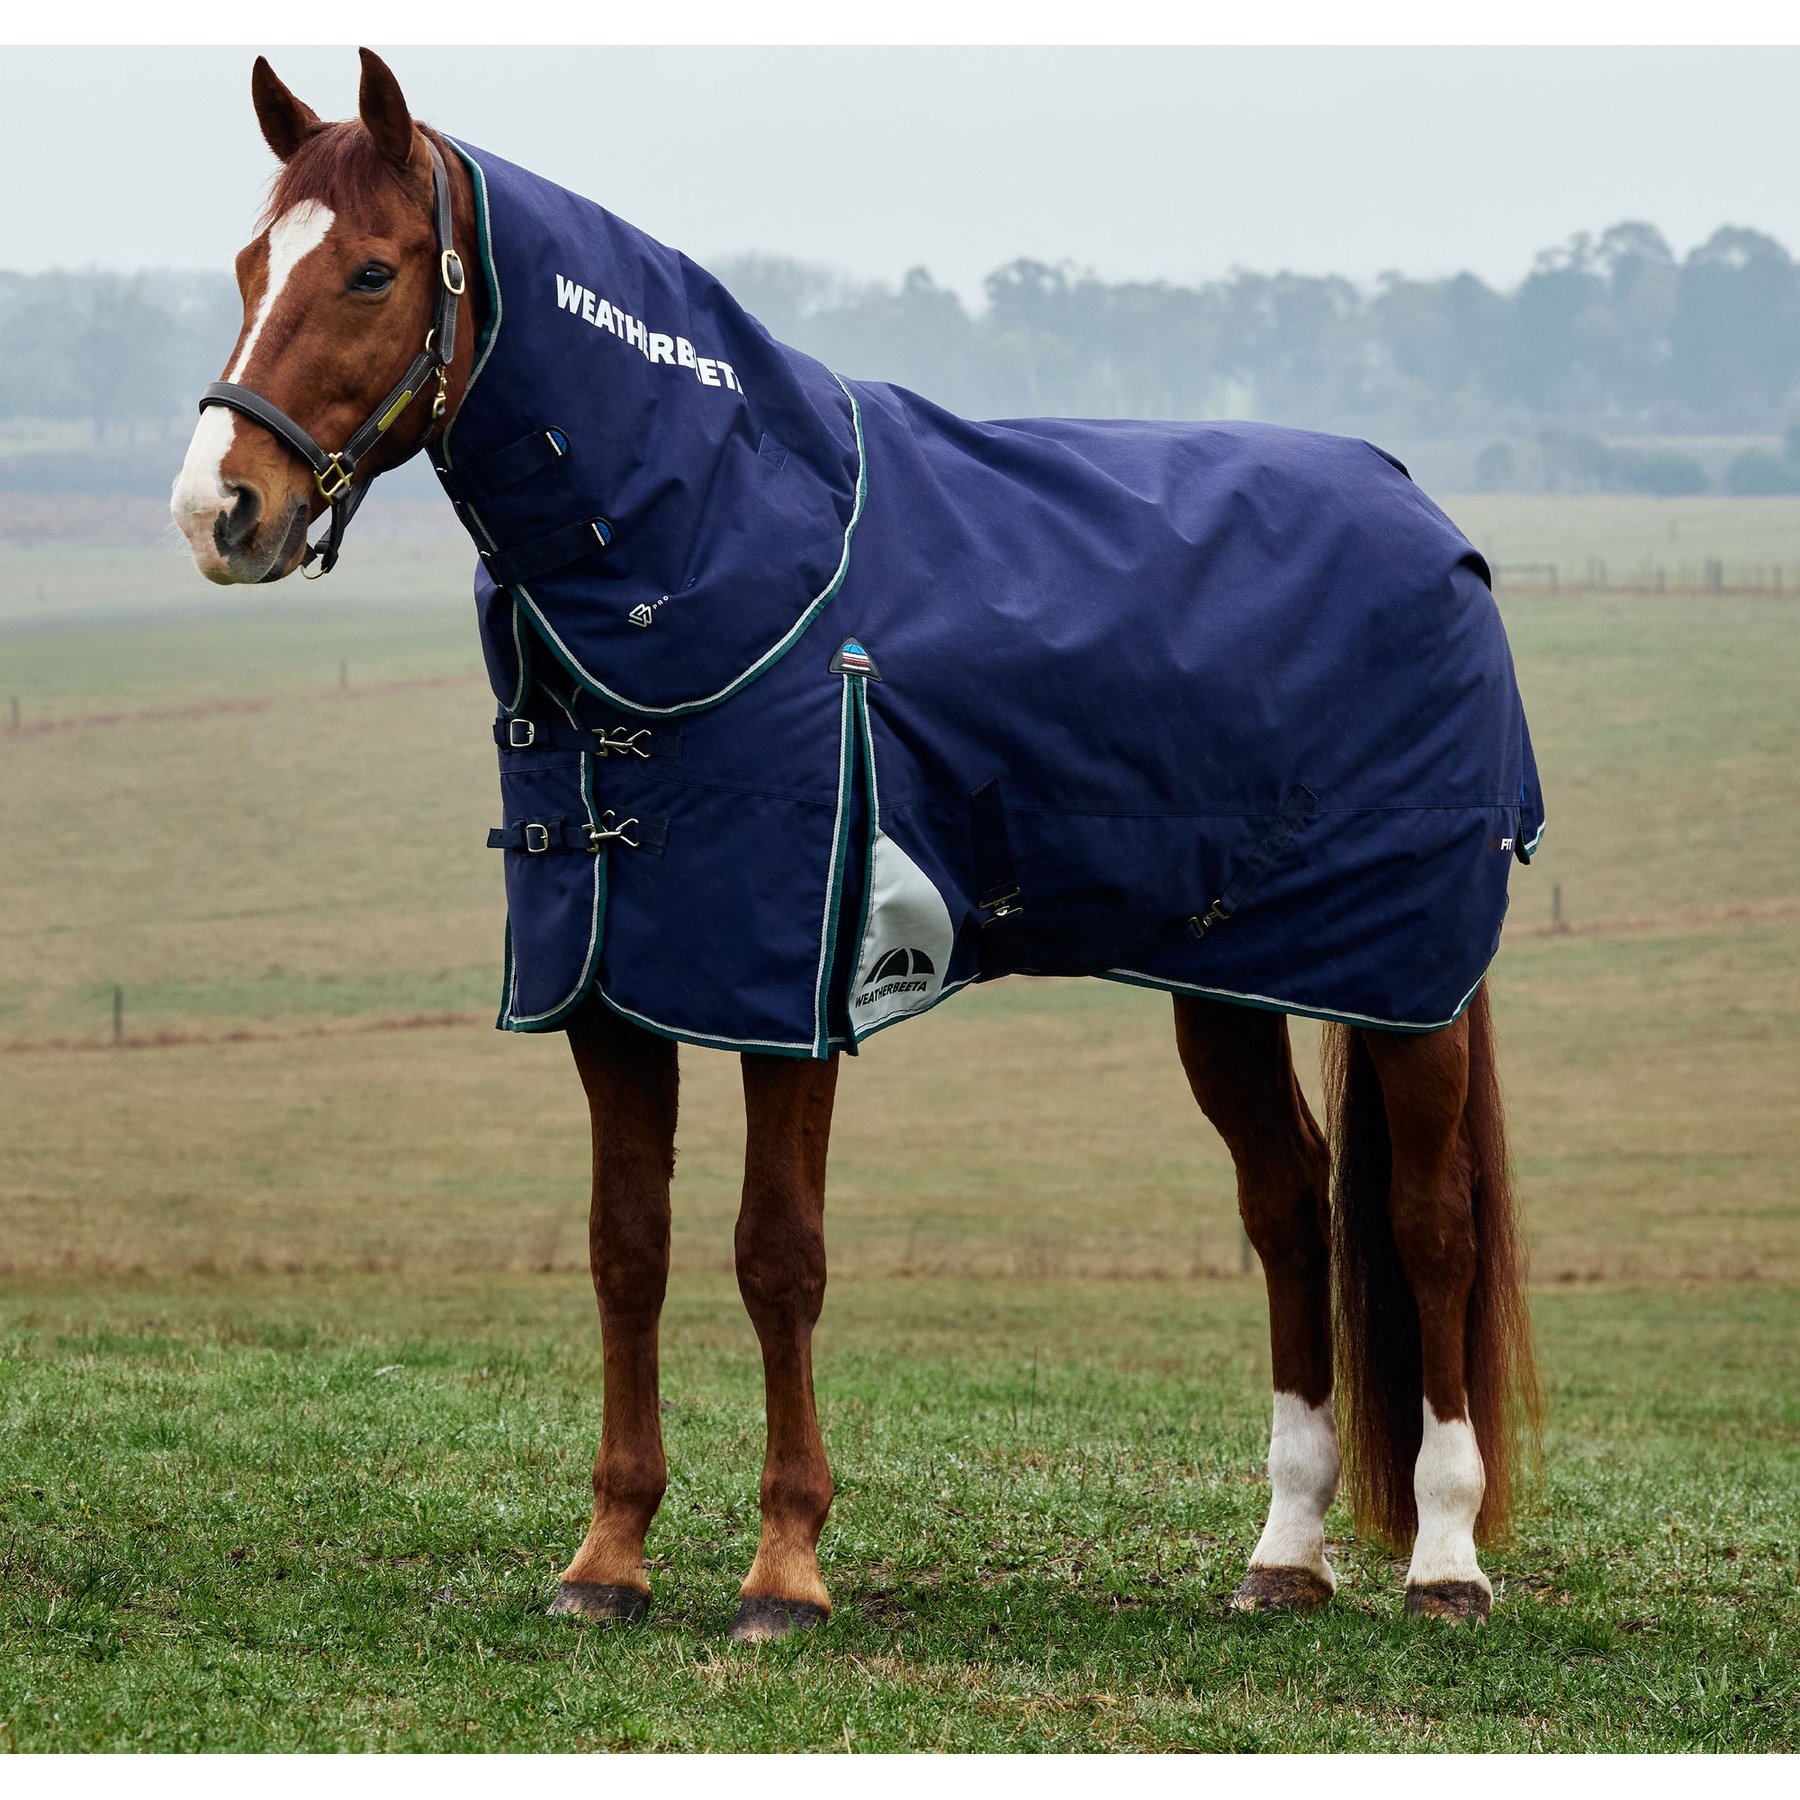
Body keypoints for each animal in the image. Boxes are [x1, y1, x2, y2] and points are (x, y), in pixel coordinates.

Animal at [171, 49, 1541, 1640]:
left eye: (374, 270)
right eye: (250, 265)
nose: (220, 510)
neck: (726, 545)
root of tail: (1427, 517)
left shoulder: (789, 991)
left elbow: (779, 1257)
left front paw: (785, 1571)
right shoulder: (611, 990)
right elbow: (626, 1250)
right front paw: (607, 1558)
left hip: (1408, 988)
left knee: (1429, 1220)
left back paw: (1444, 1560)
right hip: (1229, 983)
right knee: (1290, 1210)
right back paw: (1287, 1551)